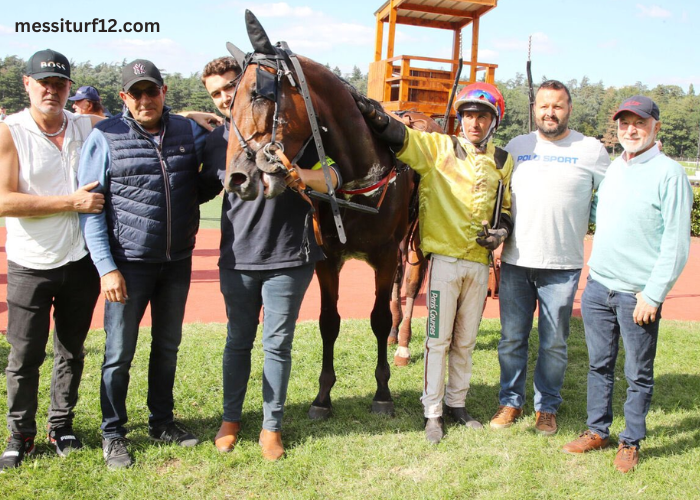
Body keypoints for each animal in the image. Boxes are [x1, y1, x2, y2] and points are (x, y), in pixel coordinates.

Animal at [221, 10, 416, 418]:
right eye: (228, 103)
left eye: (259, 93)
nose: (236, 178)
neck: (362, 178)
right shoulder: (329, 258)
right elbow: (329, 322)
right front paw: (323, 395)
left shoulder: (385, 254)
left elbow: (377, 318)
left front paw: (382, 392)